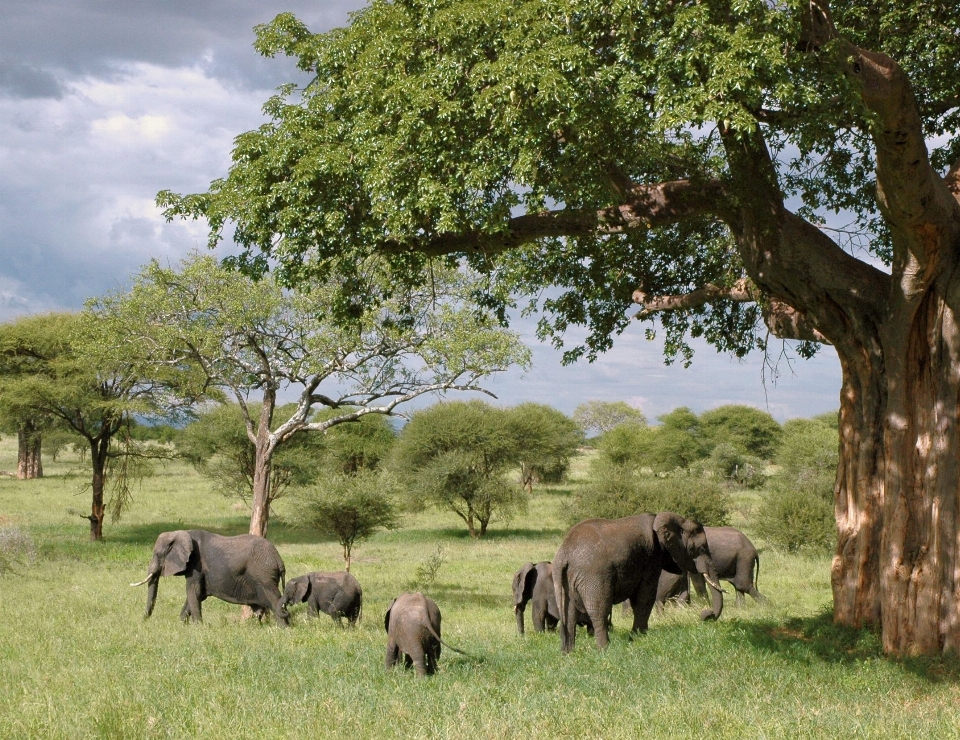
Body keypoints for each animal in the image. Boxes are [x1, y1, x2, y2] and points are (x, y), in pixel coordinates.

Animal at [129, 528, 290, 628]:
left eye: (157, 554)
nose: (143, 621)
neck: (182, 533)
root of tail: (278, 559)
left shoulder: (196, 565)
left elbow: (193, 592)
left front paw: (197, 627)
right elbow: (197, 594)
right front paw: (183, 624)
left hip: (264, 575)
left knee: (274, 599)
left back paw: (284, 628)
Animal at [556, 512, 720, 652]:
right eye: (701, 548)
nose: (707, 615)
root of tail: (564, 554)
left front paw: (637, 637)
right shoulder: (652, 558)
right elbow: (645, 597)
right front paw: (638, 637)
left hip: (566, 580)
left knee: (569, 614)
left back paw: (568, 653)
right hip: (594, 576)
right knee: (599, 611)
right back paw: (605, 649)